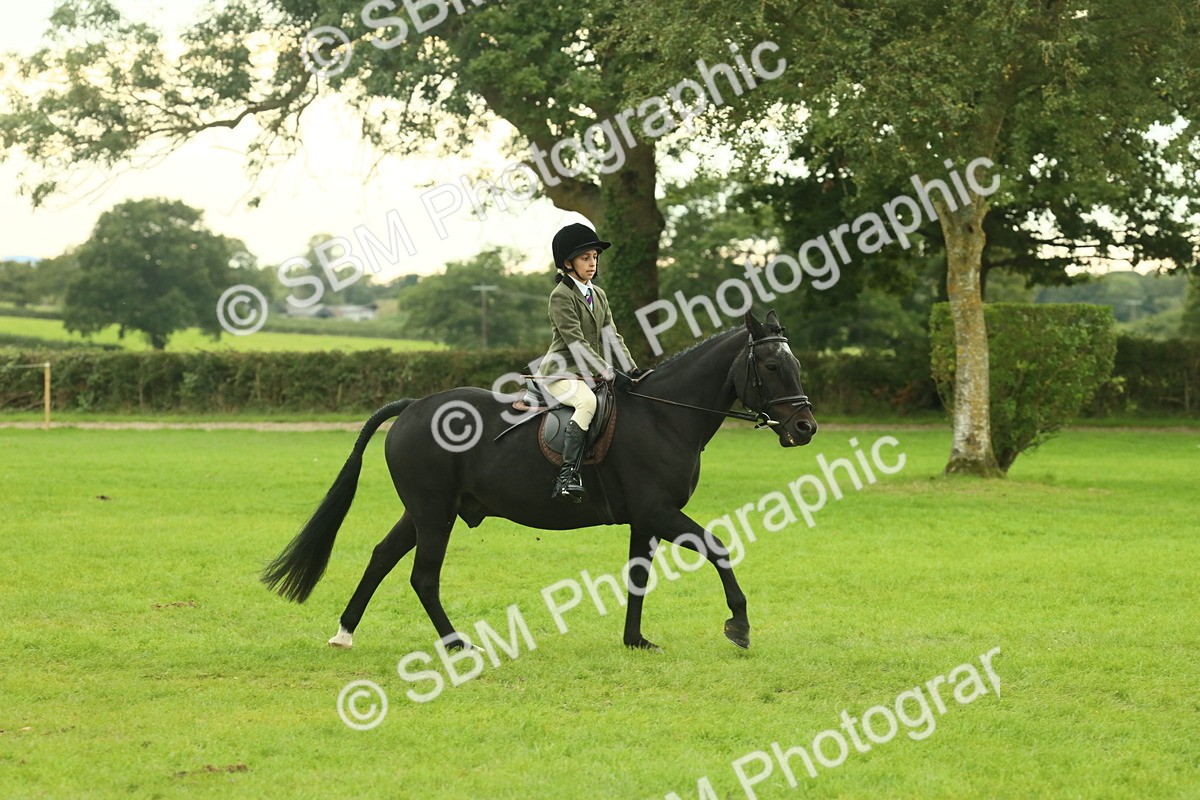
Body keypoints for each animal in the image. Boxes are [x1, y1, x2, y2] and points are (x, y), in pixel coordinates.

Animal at [261, 310, 818, 651]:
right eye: (771, 365)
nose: (804, 428)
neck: (665, 415)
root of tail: (414, 406)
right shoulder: (659, 512)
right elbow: (719, 548)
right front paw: (739, 625)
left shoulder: (645, 519)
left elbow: (637, 577)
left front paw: (635, 641)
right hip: (434, 513)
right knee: (422, 576)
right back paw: (456, 643)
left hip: (424, 510)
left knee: (381, 557)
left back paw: (344, 634)